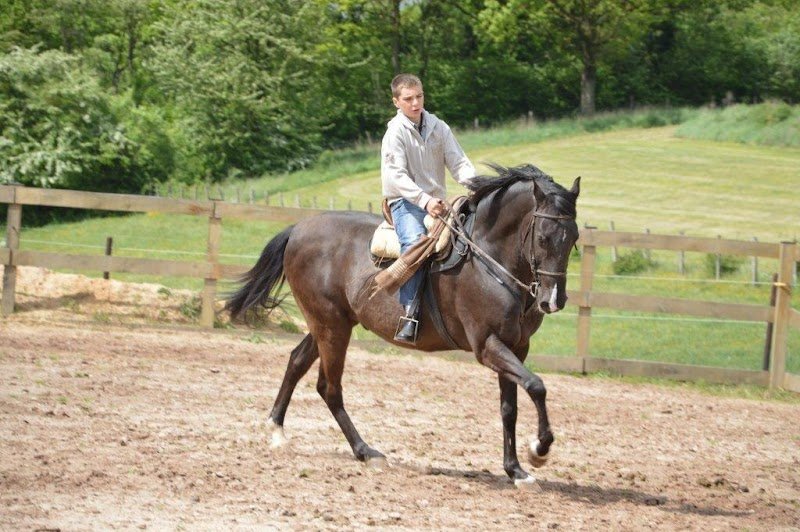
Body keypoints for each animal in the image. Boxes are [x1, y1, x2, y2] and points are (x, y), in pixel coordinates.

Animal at [225, 164, 580, 486]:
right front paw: (539, 450)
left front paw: (516, 470)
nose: (554, 300)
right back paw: (366, 451)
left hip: (328, 324)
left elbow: (510, 406)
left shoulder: (516, 347)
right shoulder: (488, 345)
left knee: (297, 362)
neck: (488, 257)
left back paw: (277, 430)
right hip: (331, 327)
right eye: (544, 237)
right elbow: (536, 385)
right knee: (329, 388)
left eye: (574, 237)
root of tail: (298, 229)